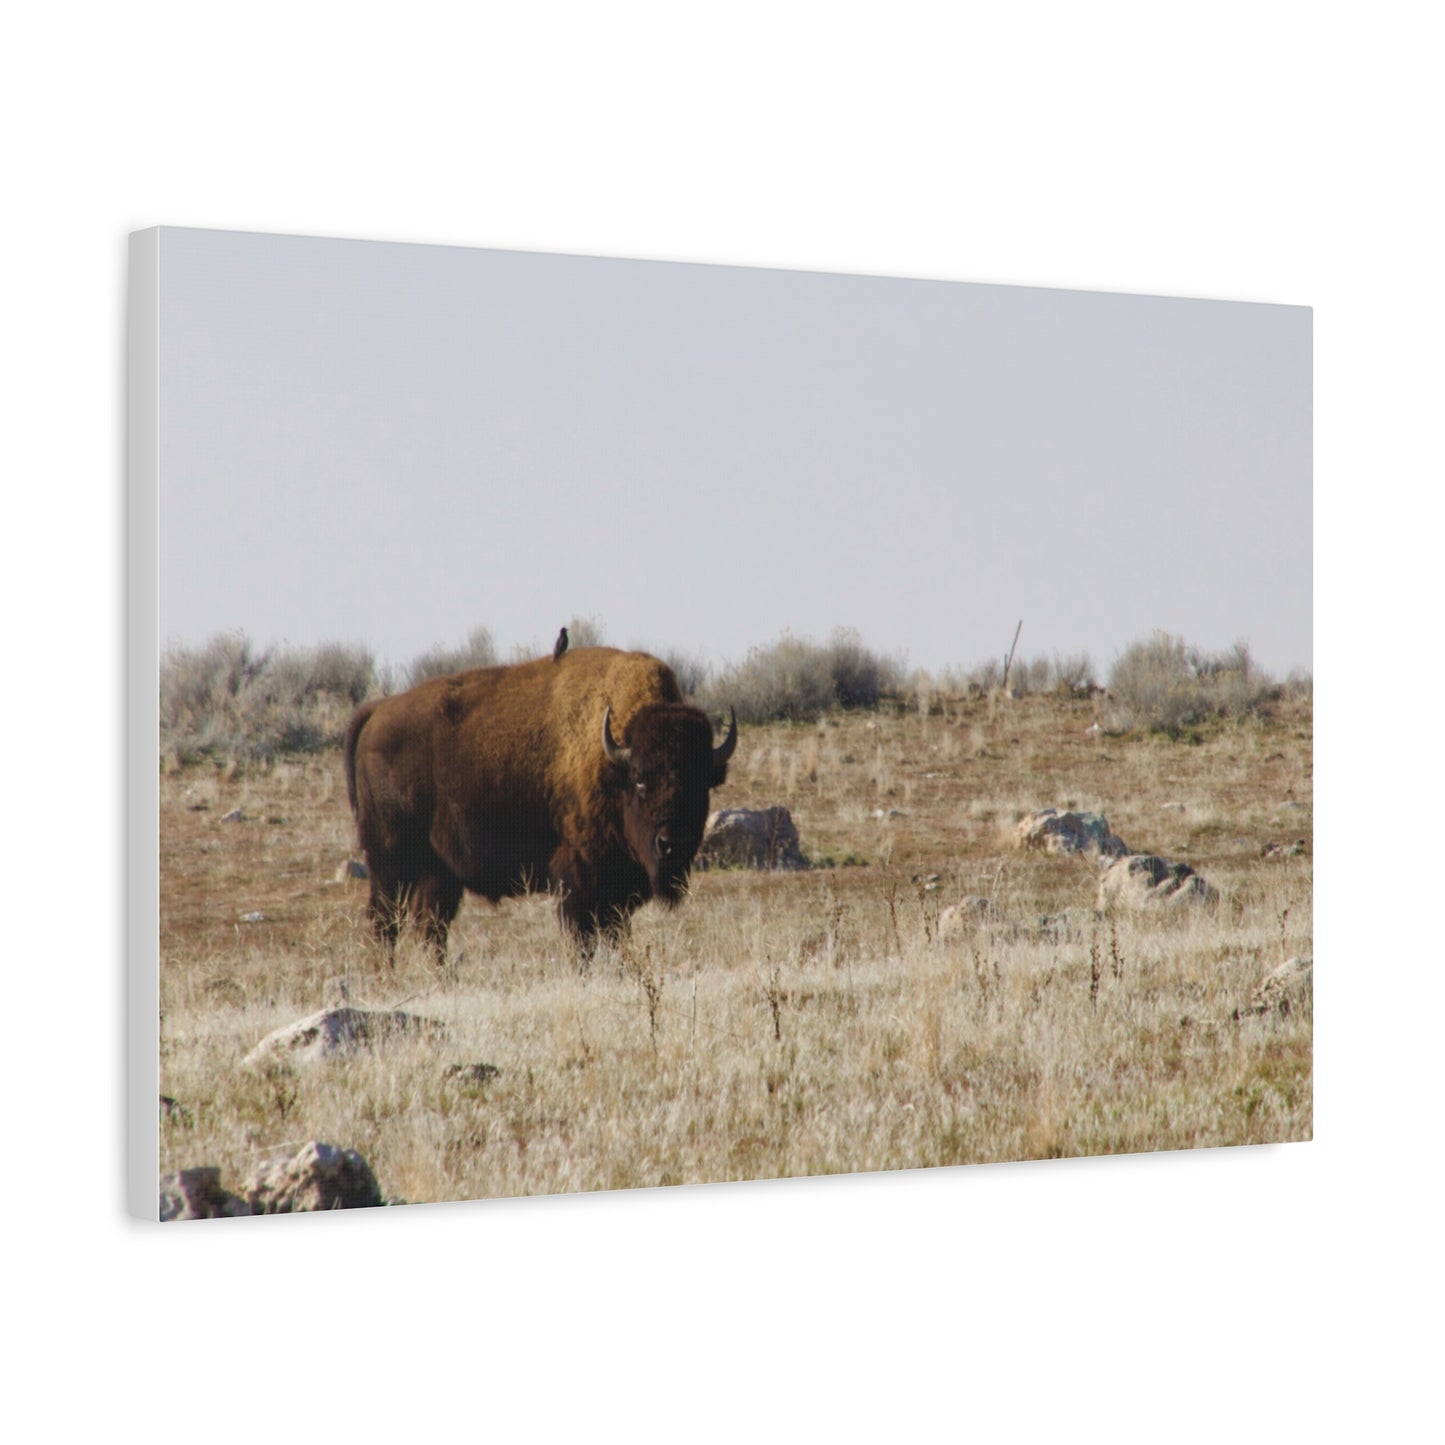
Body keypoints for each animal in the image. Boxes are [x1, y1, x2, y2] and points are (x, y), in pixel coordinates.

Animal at [343, 647, 737, 958]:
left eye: (701, 783)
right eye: (640, 779)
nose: (672, 844)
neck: (613, 762)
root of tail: (377, 711)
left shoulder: (617, 891)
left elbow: (613, 934)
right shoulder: (580, 879)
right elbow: (584, 938)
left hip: (437, 871)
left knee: (429, 928)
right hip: (389, 862)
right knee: (385, 923)